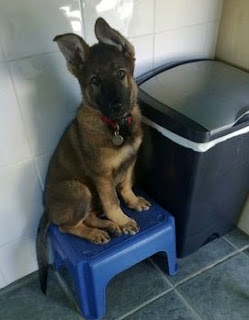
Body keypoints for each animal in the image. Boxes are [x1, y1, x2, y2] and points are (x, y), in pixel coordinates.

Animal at [36, 16, 151, 292]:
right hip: (79, 189)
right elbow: (112, 201)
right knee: (66, 226)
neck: (117, 127)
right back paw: (98, 231)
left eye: (121, 74)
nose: (117, 107)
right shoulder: (101, 176)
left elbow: (125, 186)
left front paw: (132, 203)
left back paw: (106, 226)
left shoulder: (130, 161)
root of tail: (46, 209)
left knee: (87, 216)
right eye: (95, 81)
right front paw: (123, 220)